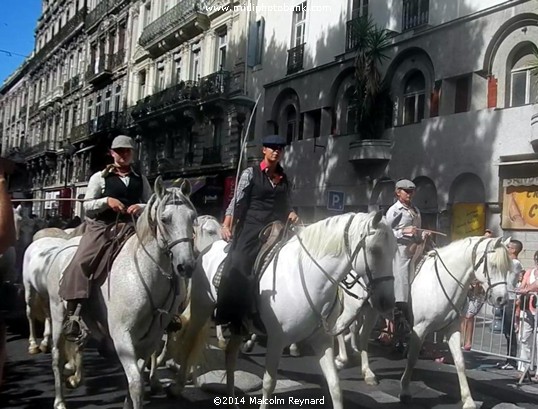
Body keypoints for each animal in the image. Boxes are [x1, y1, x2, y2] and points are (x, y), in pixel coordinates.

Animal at [48, 178, 197, 408]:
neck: (146, 274)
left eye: (192, 218)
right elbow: (135, 382)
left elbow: (138, 373)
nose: (186, 266)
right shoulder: (121, 335)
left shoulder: (151, 337)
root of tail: (62, 248)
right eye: (165, 219)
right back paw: (59, 400)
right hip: (57, 313)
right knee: (56, 356)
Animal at [170, 210, 396, 408]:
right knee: (189, 341)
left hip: (239, 325)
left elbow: (335, 386)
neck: (308, 277)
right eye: (375, 251)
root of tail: (207, 249)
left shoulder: (322, 340)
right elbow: (269, 384)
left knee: (230, 357)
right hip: (201, 308)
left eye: (394, 253)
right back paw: (178, 386)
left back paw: (231, 400)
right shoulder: (277, 340)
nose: (388, 302)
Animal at [342, 234, 508, 406]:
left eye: (507, 268)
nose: (502, 299)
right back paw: (342, 359)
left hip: (371, 310)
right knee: (340, 326)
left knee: (362, 335)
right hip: (353, 307)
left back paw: (367, 373)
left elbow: (460, 362)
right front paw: (405, 390)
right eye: (493, 265)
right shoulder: (419, 329)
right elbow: (412, 359)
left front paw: (468, 400)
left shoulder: (452, 328)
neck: (441, 281)